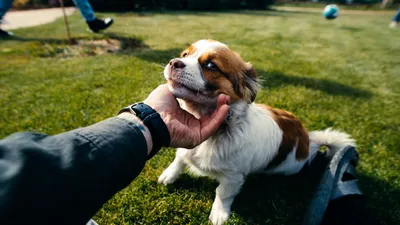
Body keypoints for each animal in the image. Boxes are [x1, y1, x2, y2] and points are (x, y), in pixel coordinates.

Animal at [158, 39, 354, 224]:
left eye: (211, 65)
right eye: (184, 54)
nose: (174, 62)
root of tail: (307, 140)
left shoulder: (233, 177)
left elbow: (223, 194)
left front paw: (219, 214)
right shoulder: (186, 149)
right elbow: (179, 159)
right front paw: (169, 174)